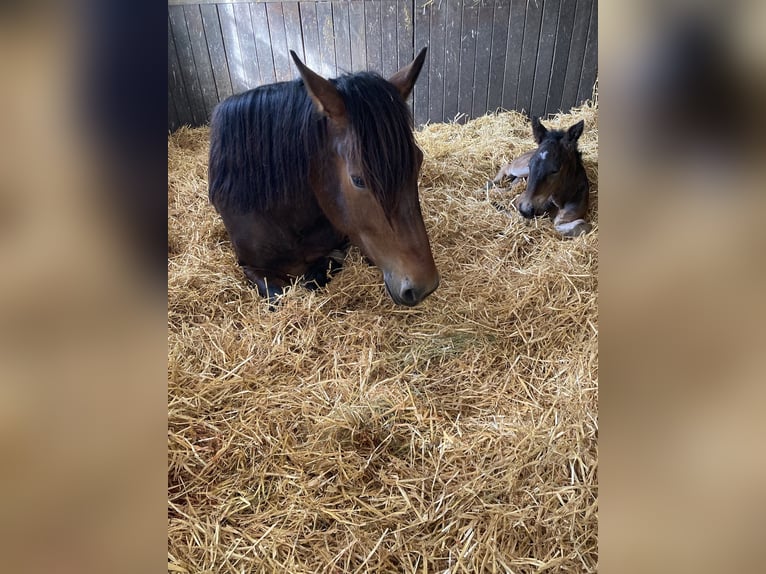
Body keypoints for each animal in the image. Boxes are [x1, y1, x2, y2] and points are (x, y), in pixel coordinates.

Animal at [207, 50, 440, 306]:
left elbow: (319, 273)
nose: (424, 286)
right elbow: (278, 294)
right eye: (358, 180)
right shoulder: (249, 266)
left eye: (418, 160)